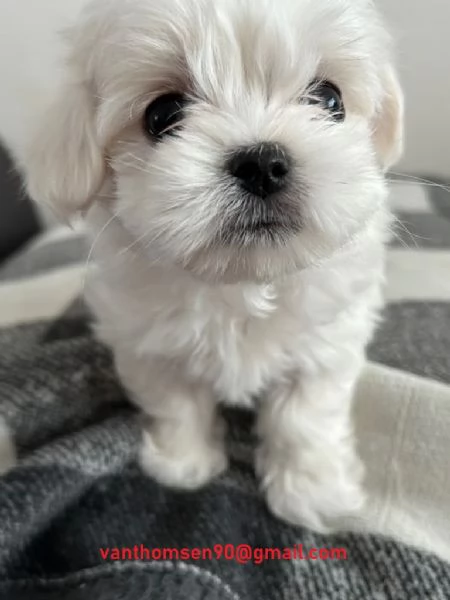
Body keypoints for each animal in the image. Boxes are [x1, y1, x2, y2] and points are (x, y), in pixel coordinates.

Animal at [3, 0, 402, 532]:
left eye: (329, 98)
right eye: (162, 114)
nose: (262, 162)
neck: (238, 281)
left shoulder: (325, 345)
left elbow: (306, 417)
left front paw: (311, 492)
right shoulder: (148, 345)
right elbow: (176, 403)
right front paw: (183, 464)